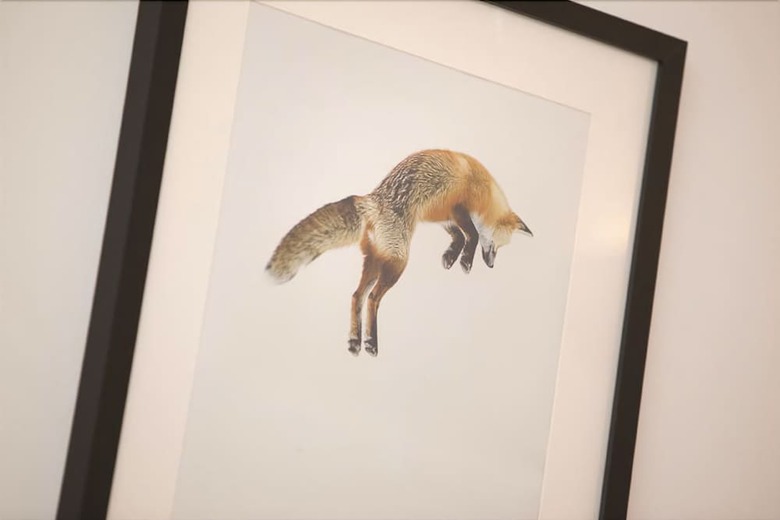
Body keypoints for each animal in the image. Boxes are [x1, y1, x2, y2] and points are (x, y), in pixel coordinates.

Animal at [265, 149, 532, 357]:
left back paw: (354, 342)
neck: (484, 190)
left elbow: (457, 236)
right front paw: (465, 260)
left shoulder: (441, 215)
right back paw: (371, 343)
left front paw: (450, 257)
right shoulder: (458, 209)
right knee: (372, 299)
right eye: (497, 246)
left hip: (374, 262)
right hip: (397, 264)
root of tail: (371, 201)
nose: (491, 266)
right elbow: (472, 235)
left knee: (356, 296)